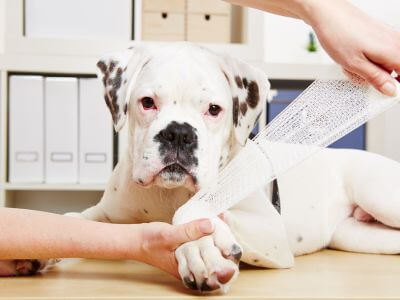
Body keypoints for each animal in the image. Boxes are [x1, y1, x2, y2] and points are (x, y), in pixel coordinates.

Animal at [3, 42, 400, 292]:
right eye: (147, 102)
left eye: (213, 110)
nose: (179, 133)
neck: (167, 195)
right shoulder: (105, 217)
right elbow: (71, 221)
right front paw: (33, 249)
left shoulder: (272, 234)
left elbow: (192, 215)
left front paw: (200, 253)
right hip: (357, 235)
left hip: (377, 194)